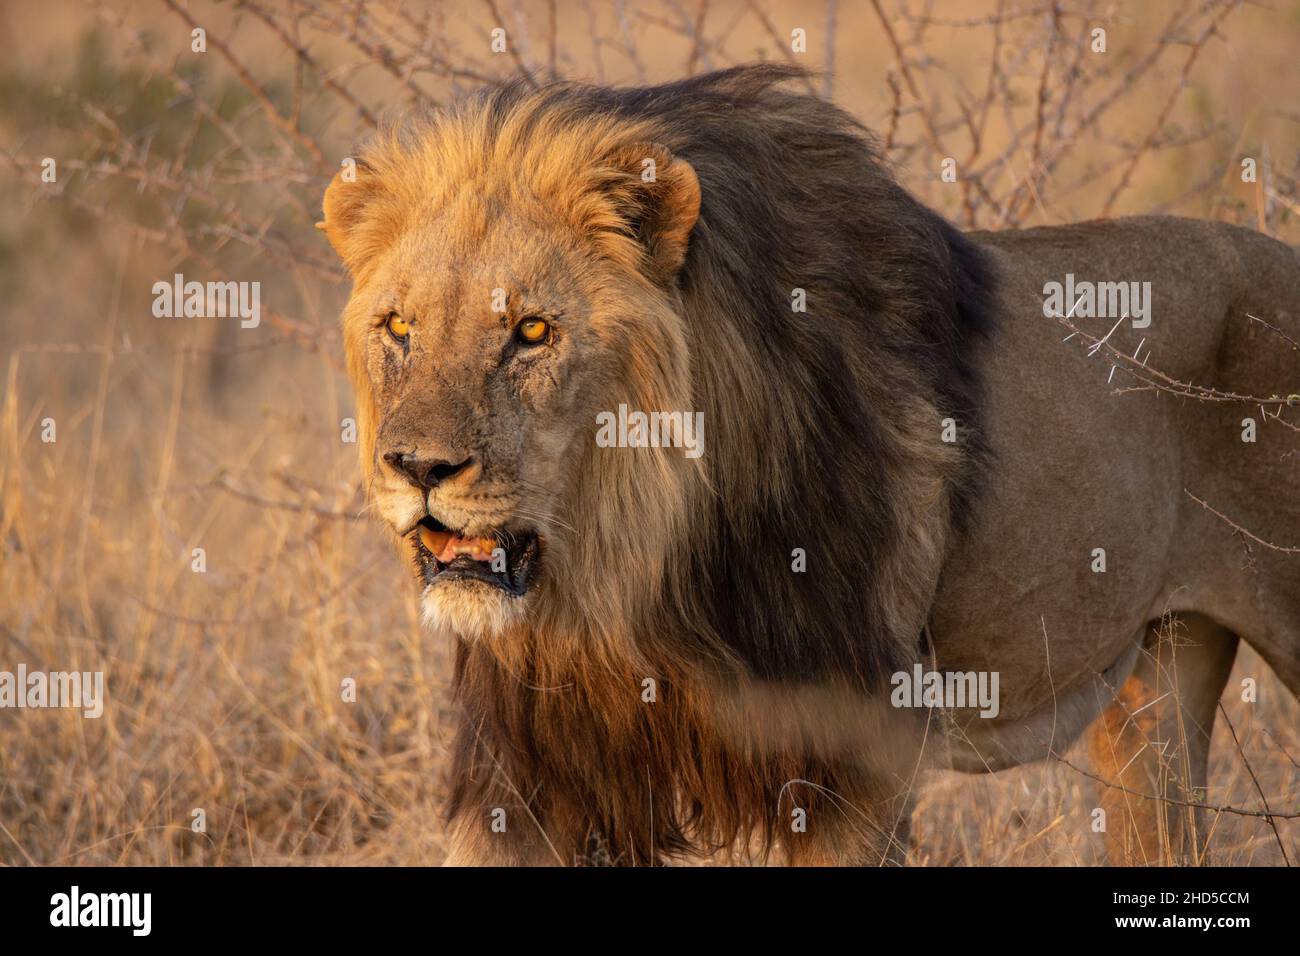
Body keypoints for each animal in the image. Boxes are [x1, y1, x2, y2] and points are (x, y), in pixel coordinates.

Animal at [319, 65, 1300, 866]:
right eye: (399, 328)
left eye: (531, 331)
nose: (418, 467)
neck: (625, 567)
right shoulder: (530, 769)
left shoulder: (852, 755)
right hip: (1157, 683)